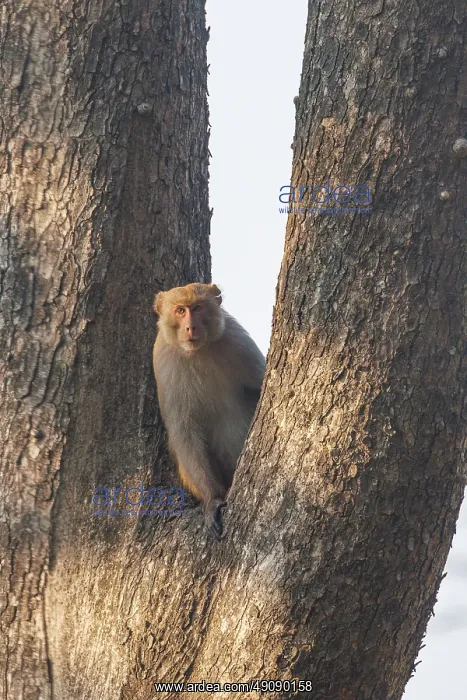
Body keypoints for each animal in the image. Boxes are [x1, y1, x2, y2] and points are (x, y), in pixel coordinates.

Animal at [152, 283, 266, 540]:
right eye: (180, 310)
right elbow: (184, 432)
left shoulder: (238, 341)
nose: (190, 327)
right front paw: (212, 499)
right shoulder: (163, 361)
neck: (198, 351)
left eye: (197, 308)